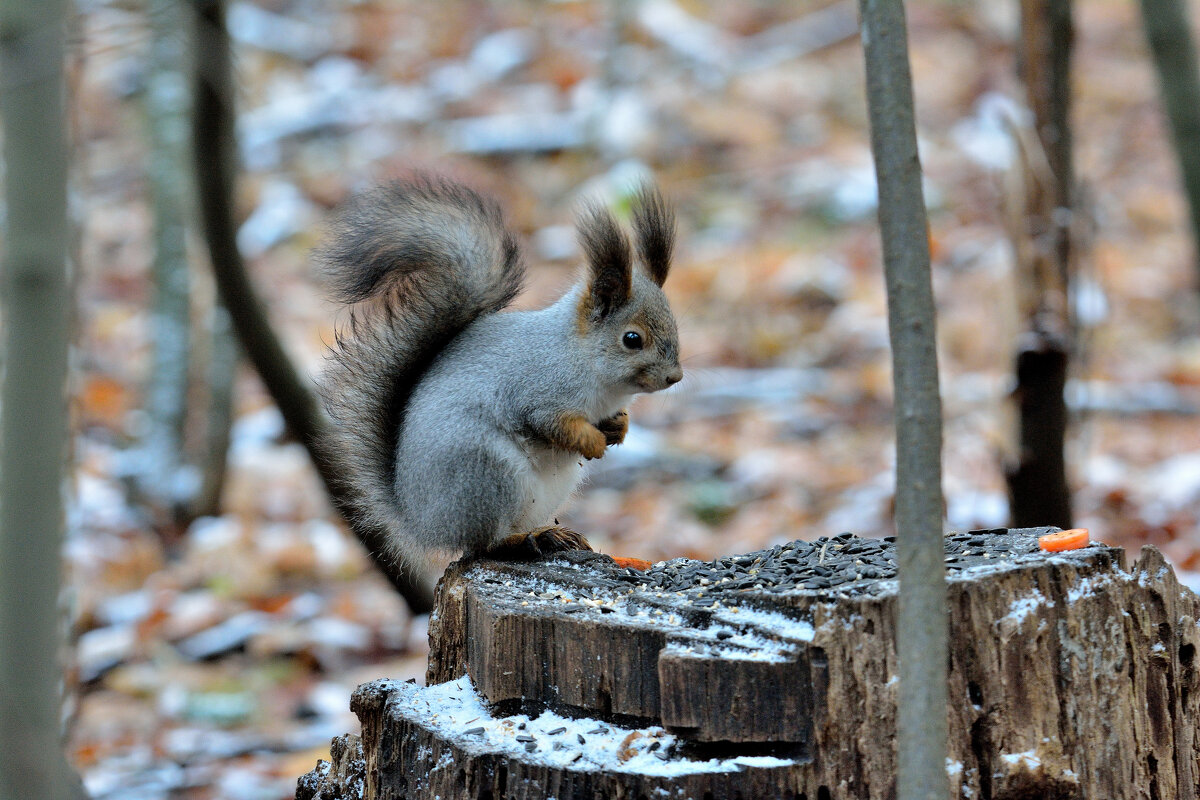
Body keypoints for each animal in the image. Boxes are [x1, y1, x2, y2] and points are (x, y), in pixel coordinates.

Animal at [316, 177, 686, 566]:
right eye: (632, 339)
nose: (674, 377)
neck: (579, 356)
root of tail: (421, 523)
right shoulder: (537, 391)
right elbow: (552, 424)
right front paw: (593, 441)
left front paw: (618, 428)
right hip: (488, 475)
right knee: (481, 545)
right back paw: (524, 540)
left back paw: (552, 533)